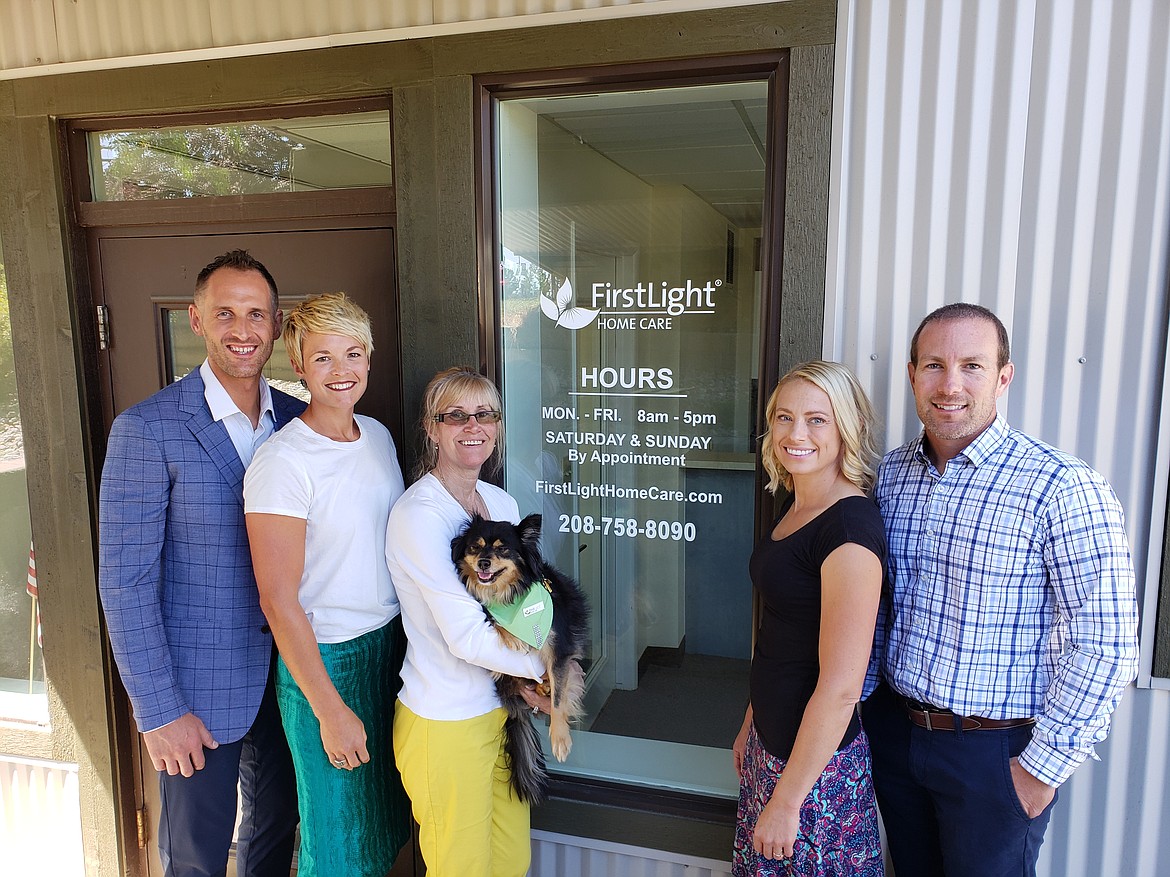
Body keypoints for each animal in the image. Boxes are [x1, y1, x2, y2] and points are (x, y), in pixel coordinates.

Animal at [451, 512, 589, 809]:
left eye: (503, 549)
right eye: (475, 547)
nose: (483, 562)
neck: (511, 597)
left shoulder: (560, 649)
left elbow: (559, 699)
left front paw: (560, 739)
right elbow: (492, 618)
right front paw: (512, 637)